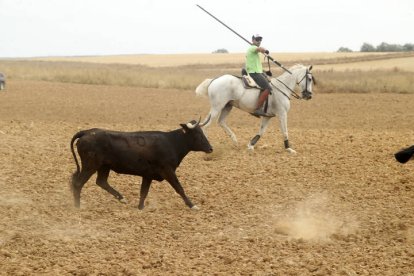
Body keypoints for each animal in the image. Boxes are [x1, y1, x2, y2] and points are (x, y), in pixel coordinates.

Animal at [70, 118, 212, 209]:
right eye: (197, 134)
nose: (210, 148)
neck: (171, 142)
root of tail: (87, 132)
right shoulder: (168, 171)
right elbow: (179, 188)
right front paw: (192, 205)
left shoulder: (148, 175)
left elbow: (144, 192)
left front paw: (140, 207)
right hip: (90, 165)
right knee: (78, 184)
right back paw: (77, 207)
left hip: (104, 166)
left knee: (101, 182)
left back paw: (122, 198)